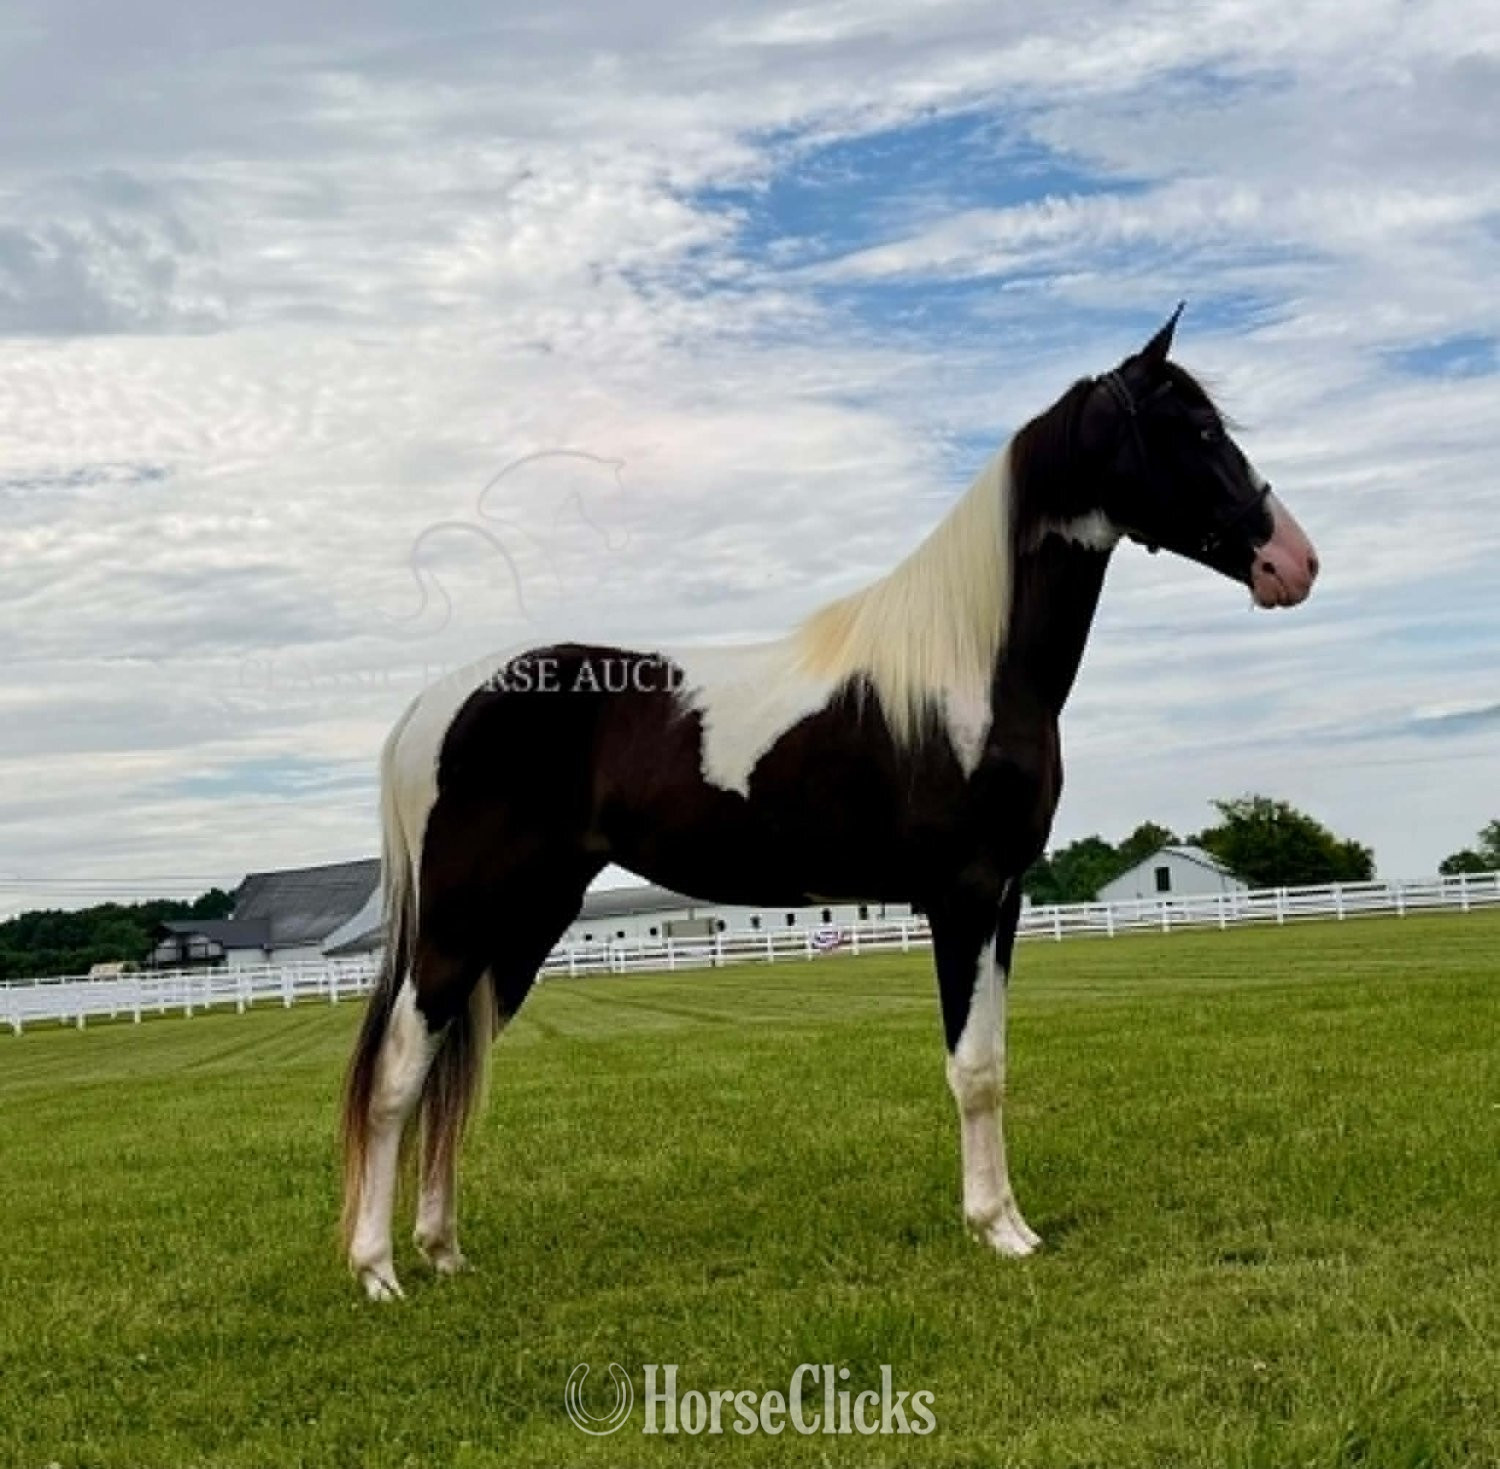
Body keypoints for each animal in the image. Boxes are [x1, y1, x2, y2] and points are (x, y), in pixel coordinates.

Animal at [340, 307, 1319, 1300]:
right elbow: (972, 1067)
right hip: (462, 920)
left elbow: (996, 1059)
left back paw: (443, 1250)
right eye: (1197, 430)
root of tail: (433, 706)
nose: (1294, 561)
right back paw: (379, 1271)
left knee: (451, 1072)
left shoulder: (1005, 899)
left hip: (524, 923)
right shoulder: (963, 895)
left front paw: (1012, 1221)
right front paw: (994, 1231)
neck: (969, 665)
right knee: (399, 1074)